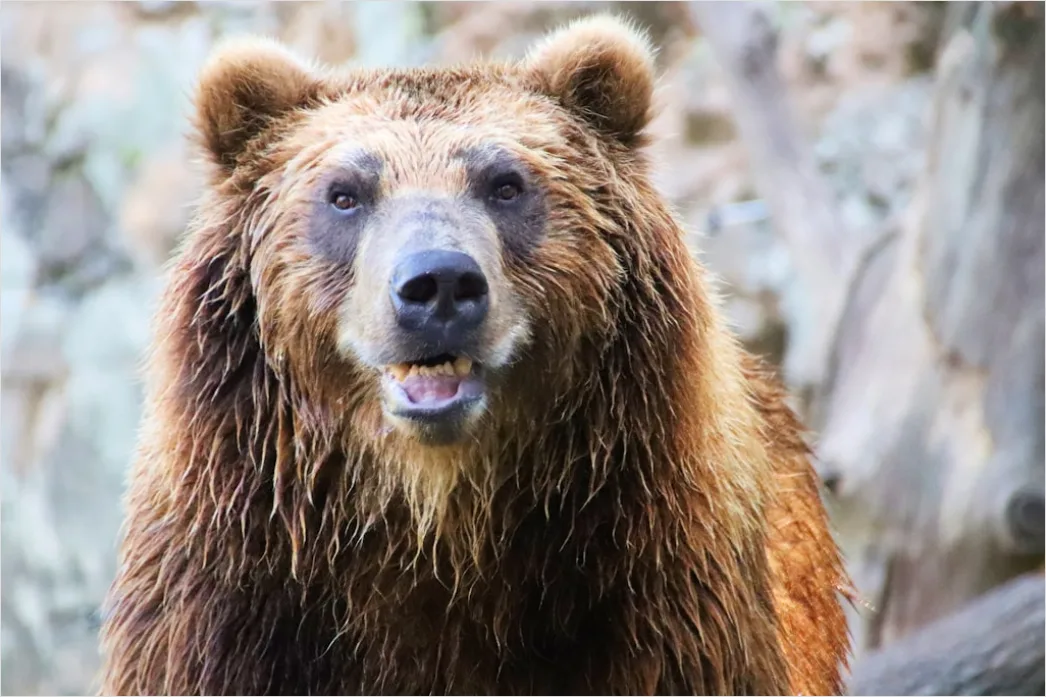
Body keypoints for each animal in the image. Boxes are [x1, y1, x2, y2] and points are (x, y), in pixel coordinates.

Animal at [98, 15, 850, 696]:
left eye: (505, 183)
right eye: (345, 193)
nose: (438, 283)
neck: (442, 518)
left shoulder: (658, 602)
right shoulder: (228, 606)